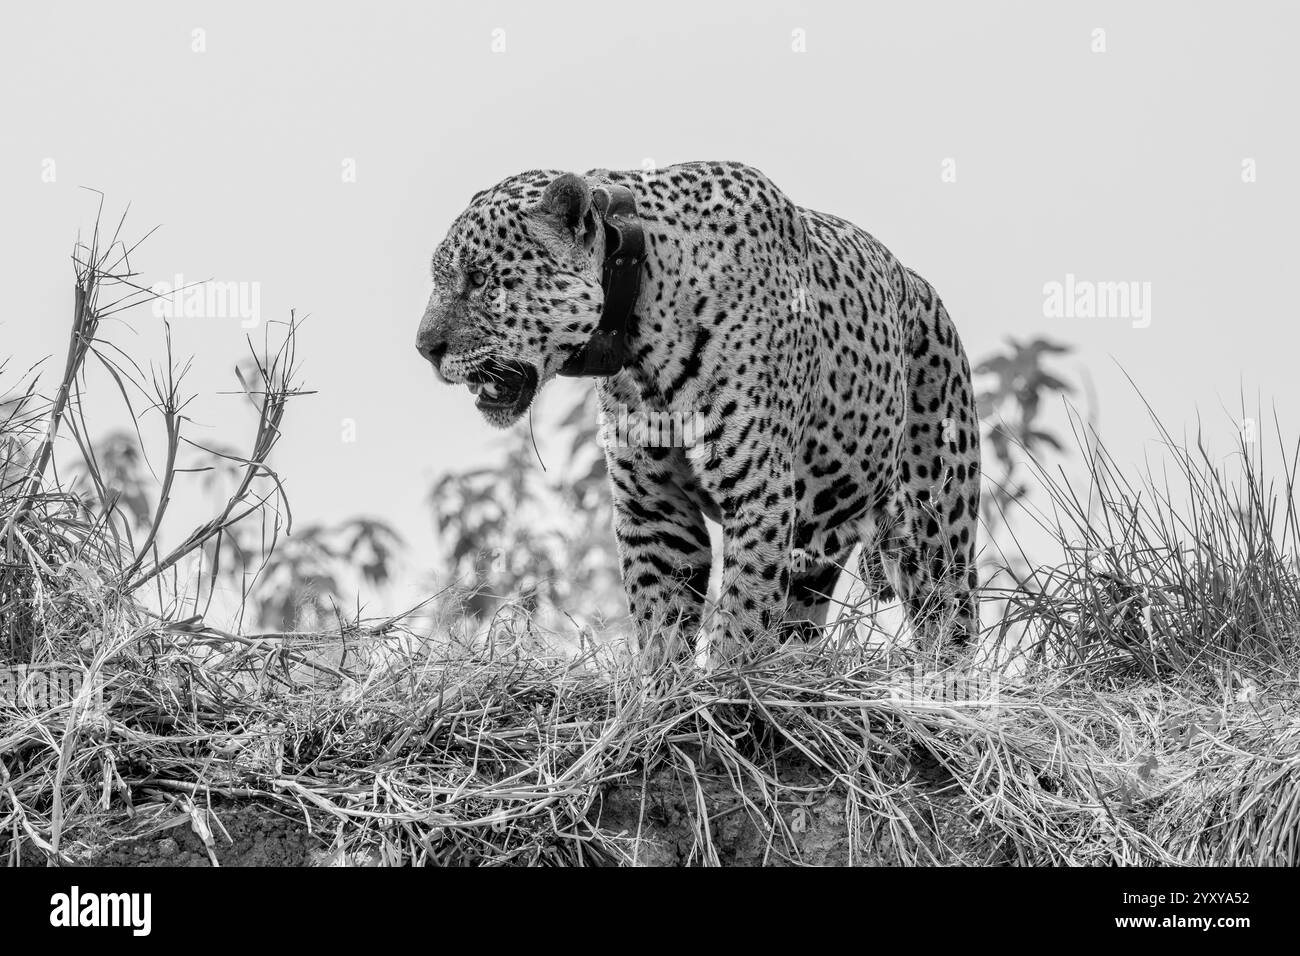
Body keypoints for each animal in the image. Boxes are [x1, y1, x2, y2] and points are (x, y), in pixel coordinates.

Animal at [416, 161, 980, 667]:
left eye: (479, 278)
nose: (424, 348)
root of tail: (923, 288)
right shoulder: (654, 508)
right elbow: (660, 620)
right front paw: (658, 702)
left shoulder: (758, 494)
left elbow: (743, 611)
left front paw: (725, 697)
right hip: (814, 554)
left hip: (938, 527)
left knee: (950, 623)